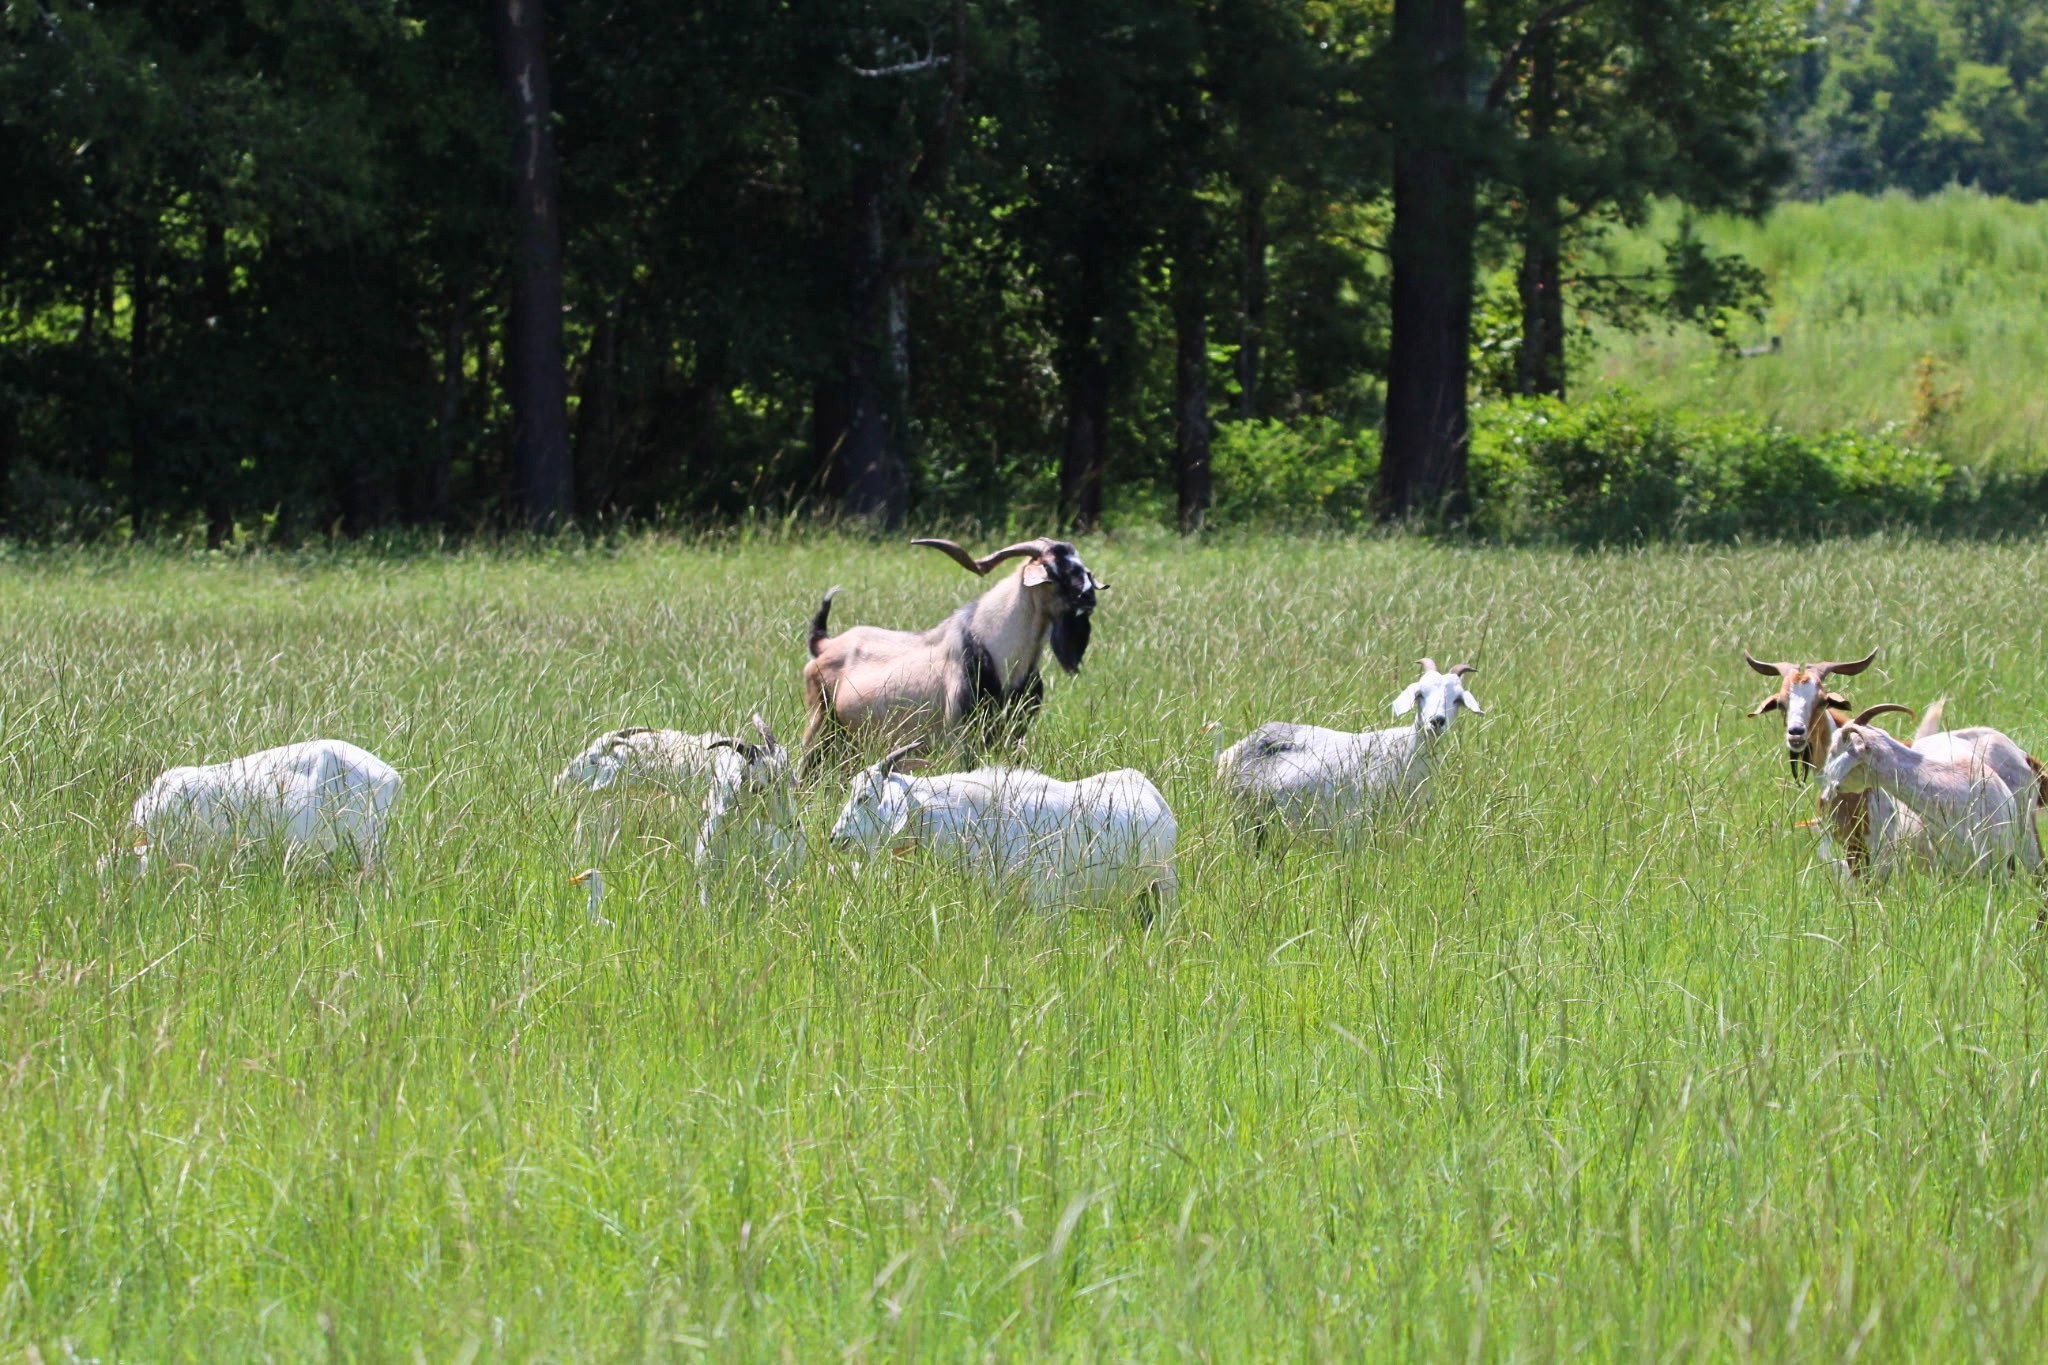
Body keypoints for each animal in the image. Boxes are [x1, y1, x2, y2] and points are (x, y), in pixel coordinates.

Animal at [799, 536, 1102, 771]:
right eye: (1052, 568)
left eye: (1080, 565)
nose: (1089, 595)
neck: (993, 648)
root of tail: (824, 645)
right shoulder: (961, 735)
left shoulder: (1014, 732)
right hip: (820, 725)